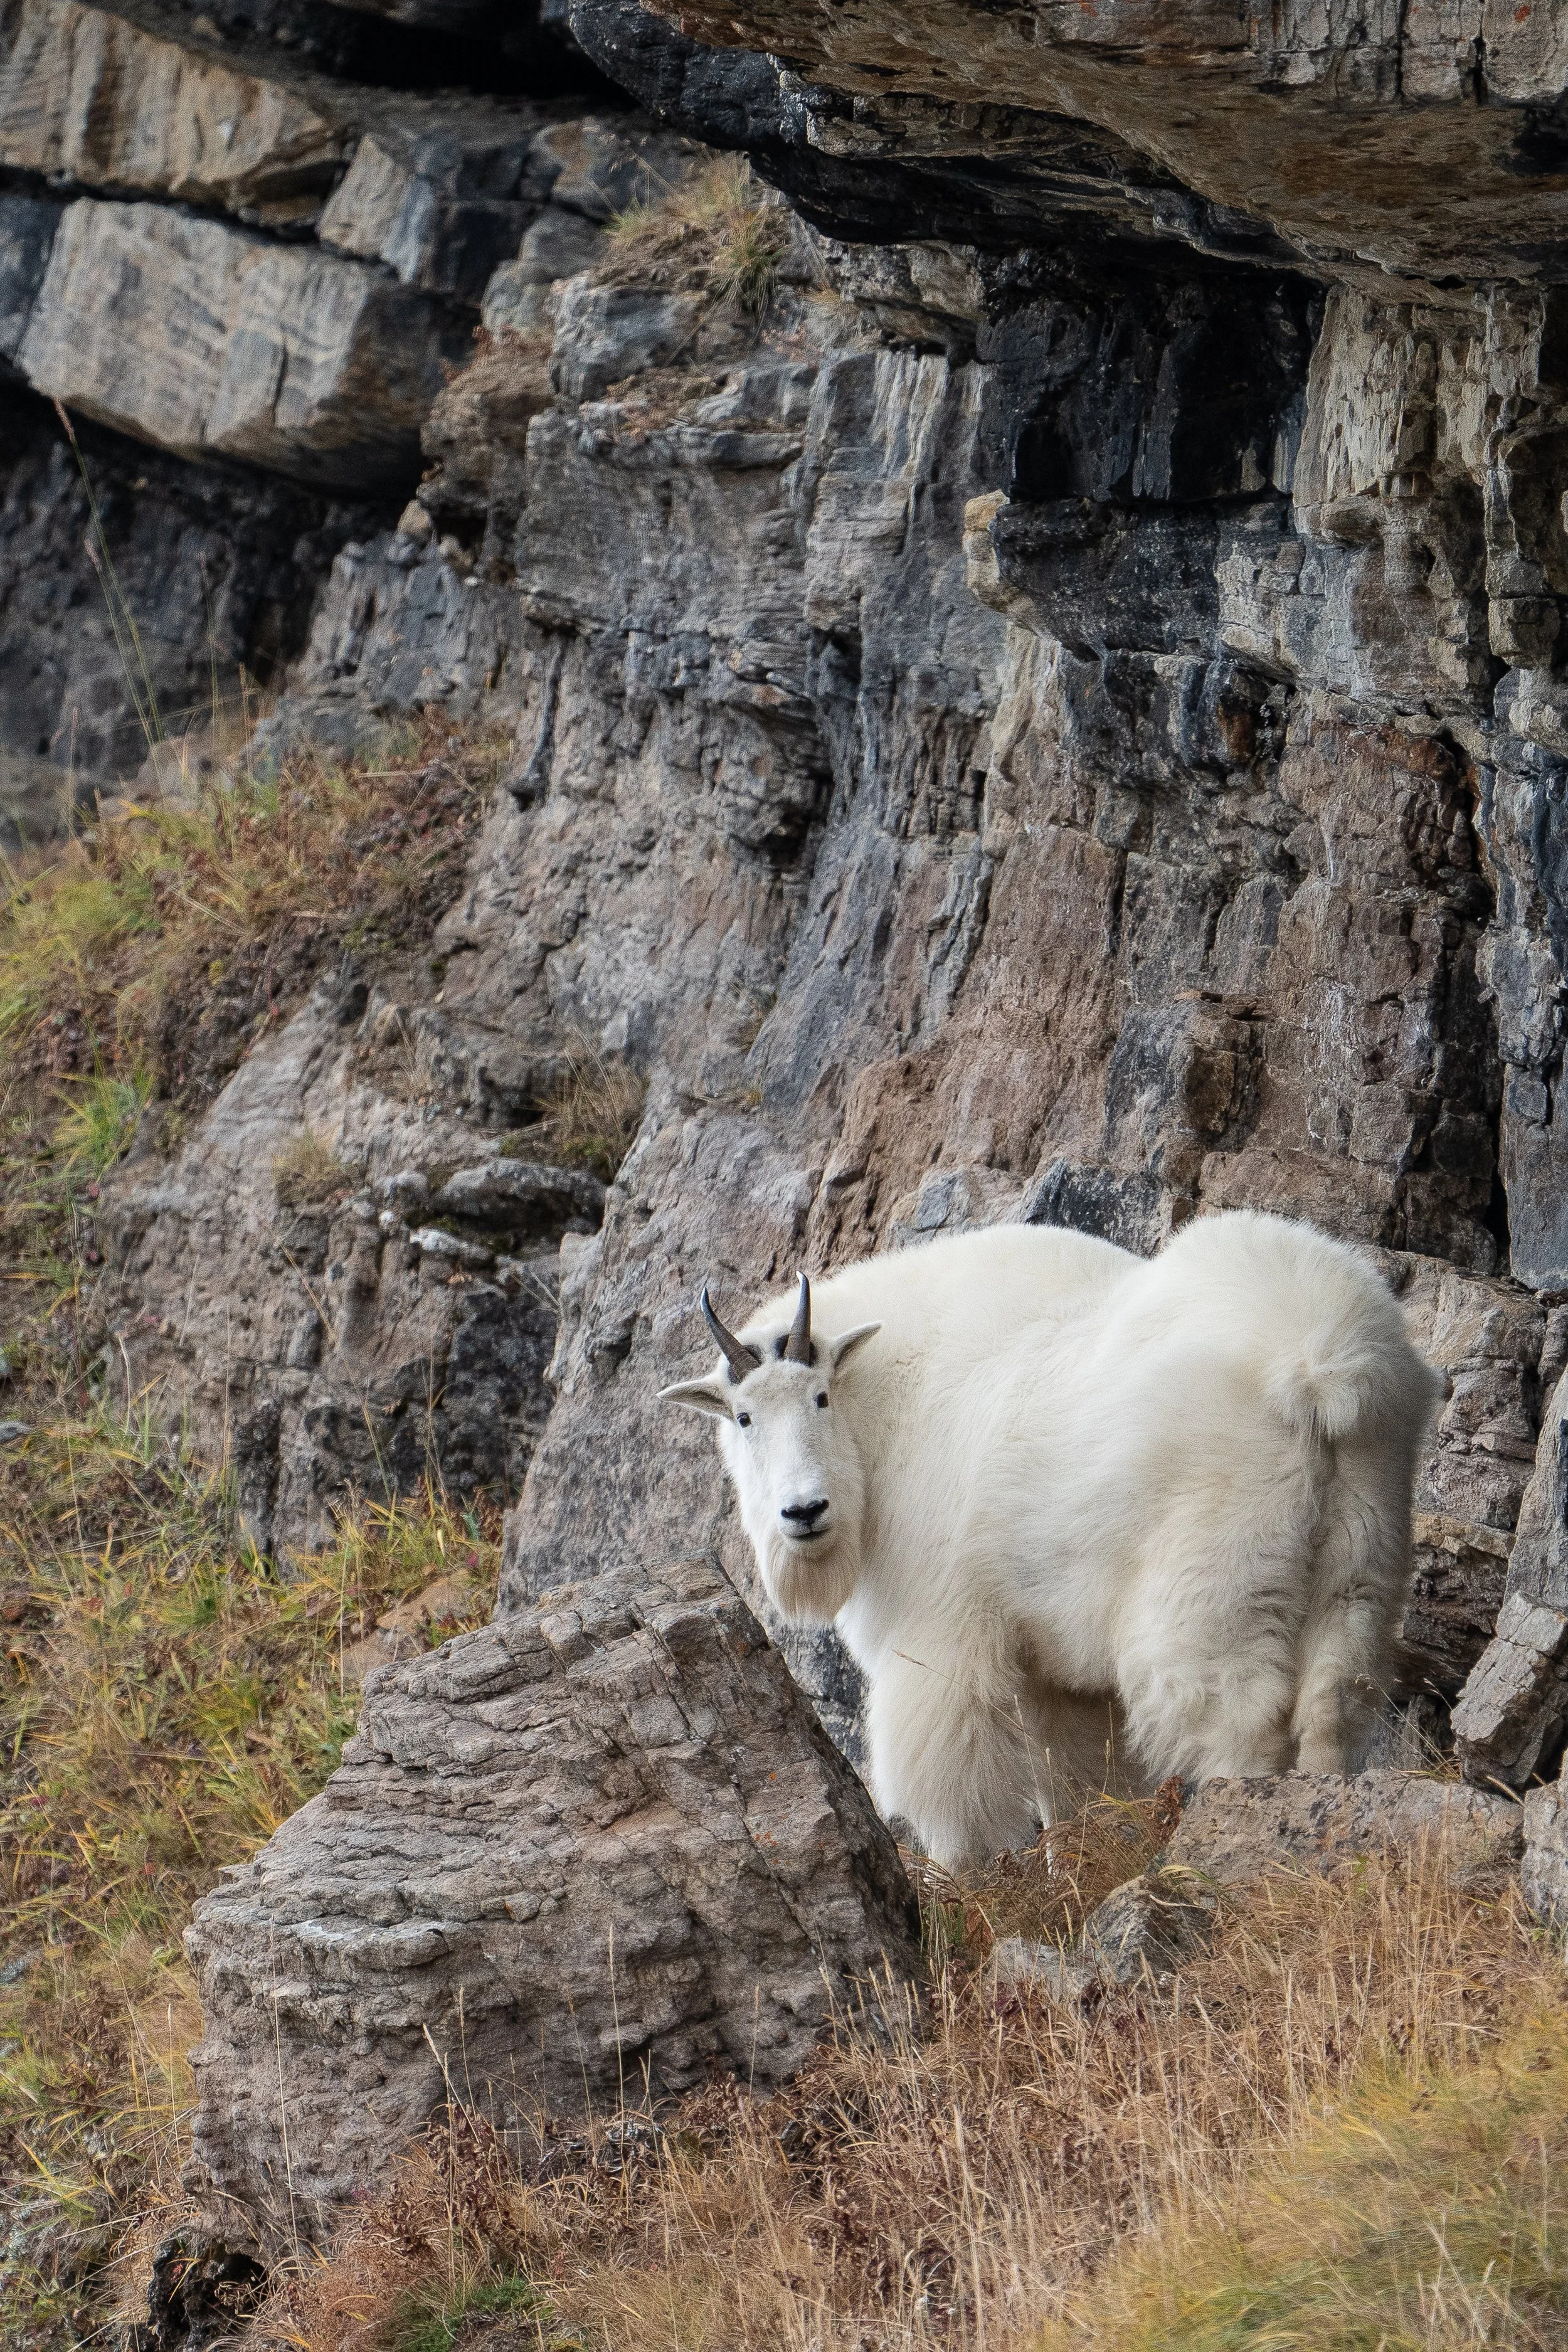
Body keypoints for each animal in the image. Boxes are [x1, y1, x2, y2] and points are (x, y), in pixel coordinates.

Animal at [661, 1211, 1438, 1871]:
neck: (890, 1404)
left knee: (1233, 1714)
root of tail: (1322, 1368)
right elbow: (1075, 1772)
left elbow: (954, 1768)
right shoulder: (1054, 1671)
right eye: (742, 1416)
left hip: (1214, 1576)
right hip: (1364, 1536)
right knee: (1336, 1696)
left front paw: (971, 1879)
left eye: (819, 1396)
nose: (804, 1512)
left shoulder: (942, 1629)